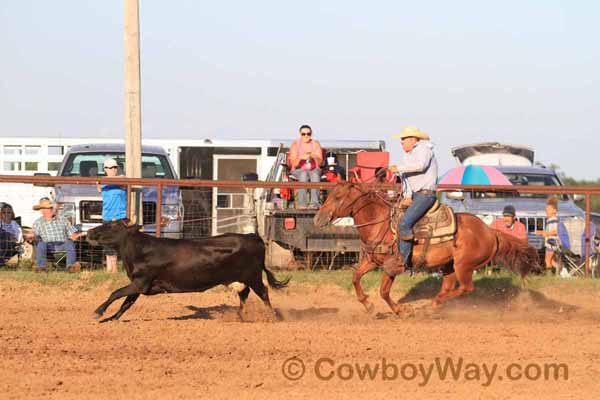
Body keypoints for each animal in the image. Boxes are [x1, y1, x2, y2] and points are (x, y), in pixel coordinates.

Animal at [314, 181, 540, 316]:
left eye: (337, 197)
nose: (317, 218)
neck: (381, 224)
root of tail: (490, 231)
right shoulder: (371, 261)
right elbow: (355, 278)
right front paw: (368, 305)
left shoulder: (391, 266)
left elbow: (384, 291)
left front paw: (401, 310)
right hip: (449, 266)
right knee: (449, 287)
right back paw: (433, 306)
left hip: (463, 266)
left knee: (466, 288)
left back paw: (430, 304)